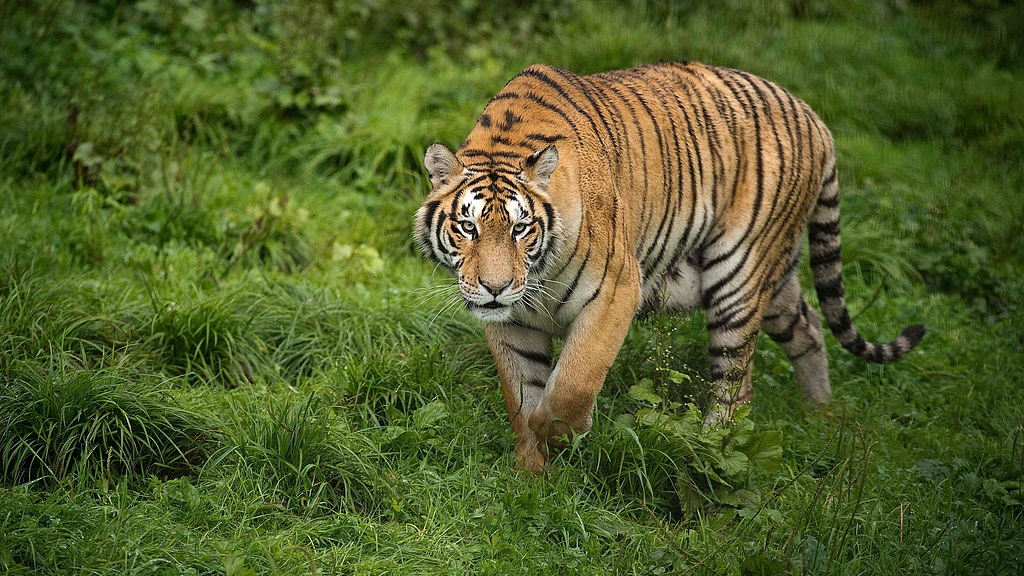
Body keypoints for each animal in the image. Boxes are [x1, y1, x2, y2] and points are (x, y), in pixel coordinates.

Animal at [414, 62, 925, 473]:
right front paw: (532, 474)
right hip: (776, 280)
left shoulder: (616, 290)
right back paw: (819, 412)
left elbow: (573, 383)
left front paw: (557, 433)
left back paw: (708, 447)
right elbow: (520, 394)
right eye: (467, 227)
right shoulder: (512, 323)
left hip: (738, 274)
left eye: (521, 229)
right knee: (811, 327)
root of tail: (814, 115)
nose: (495, 288)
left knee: (736, 386)